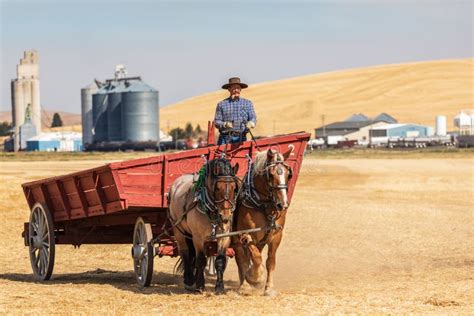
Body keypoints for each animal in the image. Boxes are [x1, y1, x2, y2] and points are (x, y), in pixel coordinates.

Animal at [168, 158, 239, 294]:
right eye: (217, 188)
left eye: (234, 187)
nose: (225, 217)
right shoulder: (198, 237)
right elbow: (200, 260)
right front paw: (200, 285)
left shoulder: (224, 236)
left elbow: (220, 261)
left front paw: (219, 287)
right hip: (178, 229)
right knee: (185, 252)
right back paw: (189, 280)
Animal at [232, 148, 294, 296]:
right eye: (270, 175)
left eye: (288, 174)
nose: (283, 204)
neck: (264, 206)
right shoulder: (246, 235)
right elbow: (256, 257)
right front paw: (256, 277)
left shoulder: (276, 235)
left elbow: (270, 261)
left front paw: (269, 288)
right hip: (236, 239)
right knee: (241, 259)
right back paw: (244, 285)